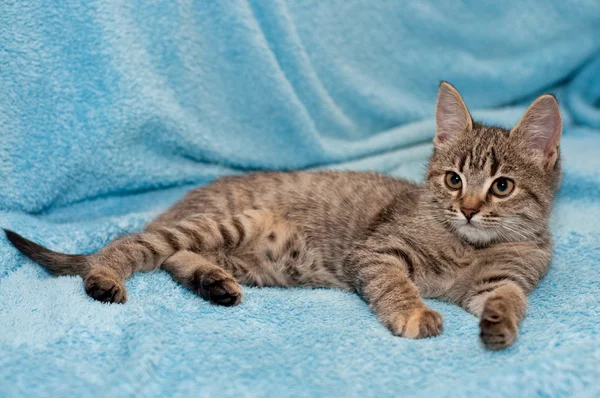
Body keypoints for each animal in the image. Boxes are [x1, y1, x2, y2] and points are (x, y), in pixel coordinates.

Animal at [4, 83, 560, 348]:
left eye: (502, 186)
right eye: (453, 180)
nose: (467, 209)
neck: (467, 247)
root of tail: (183, 201)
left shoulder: (506, 277)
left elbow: (509, 297)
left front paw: (501, 323)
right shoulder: (376, 251)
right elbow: (396, 283)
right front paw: (413, 311)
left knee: (175, 258)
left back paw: (212, 283)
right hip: (227, 221)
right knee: (134, 245)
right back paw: (104, 278)